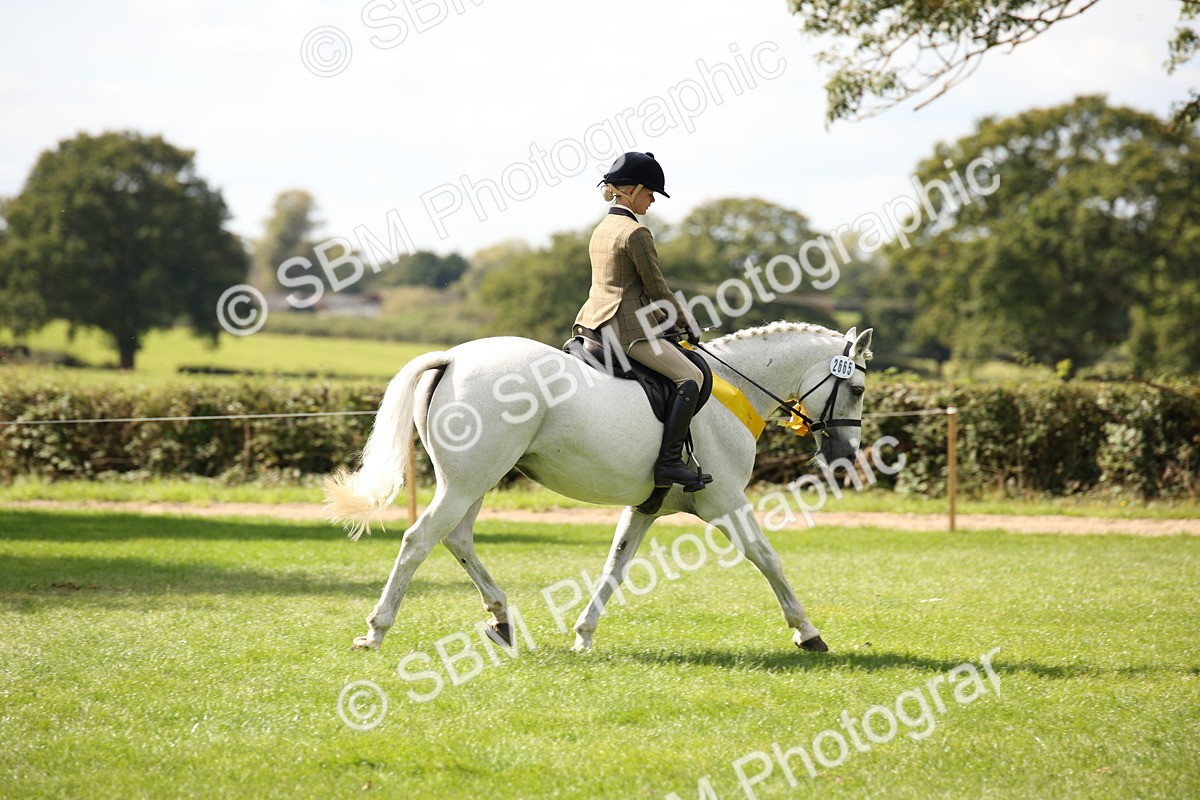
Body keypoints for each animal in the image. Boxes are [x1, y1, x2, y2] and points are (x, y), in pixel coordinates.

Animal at [325, 321, 873, 653]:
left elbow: (616, 566)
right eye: (858, 388)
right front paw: (808, 632)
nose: (846, 457)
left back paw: (501, 620)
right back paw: (375, 632)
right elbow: (768, 558)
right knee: (419, 539)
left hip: (475, 479)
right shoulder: (725, 502)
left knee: (456, 538)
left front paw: (584, 635)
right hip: (467, 481)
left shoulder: (646, 507)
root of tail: (453, 359)